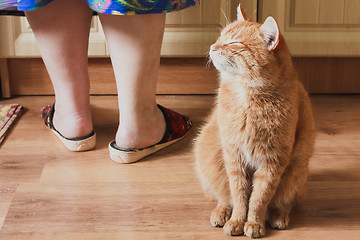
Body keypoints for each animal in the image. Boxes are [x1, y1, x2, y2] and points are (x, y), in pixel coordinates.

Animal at [194, 5, 316, 238]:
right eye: (221, 37)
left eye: (234, 43)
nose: (213, 47)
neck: (248, 100)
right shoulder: (234, 157)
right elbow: (239, 195)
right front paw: (237, 221)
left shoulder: (273, 163)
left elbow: (259, 198)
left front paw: (254, 223)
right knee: (224, 196)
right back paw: (222, 213)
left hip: (296, 172)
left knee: (285, 201)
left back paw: (279, 216)